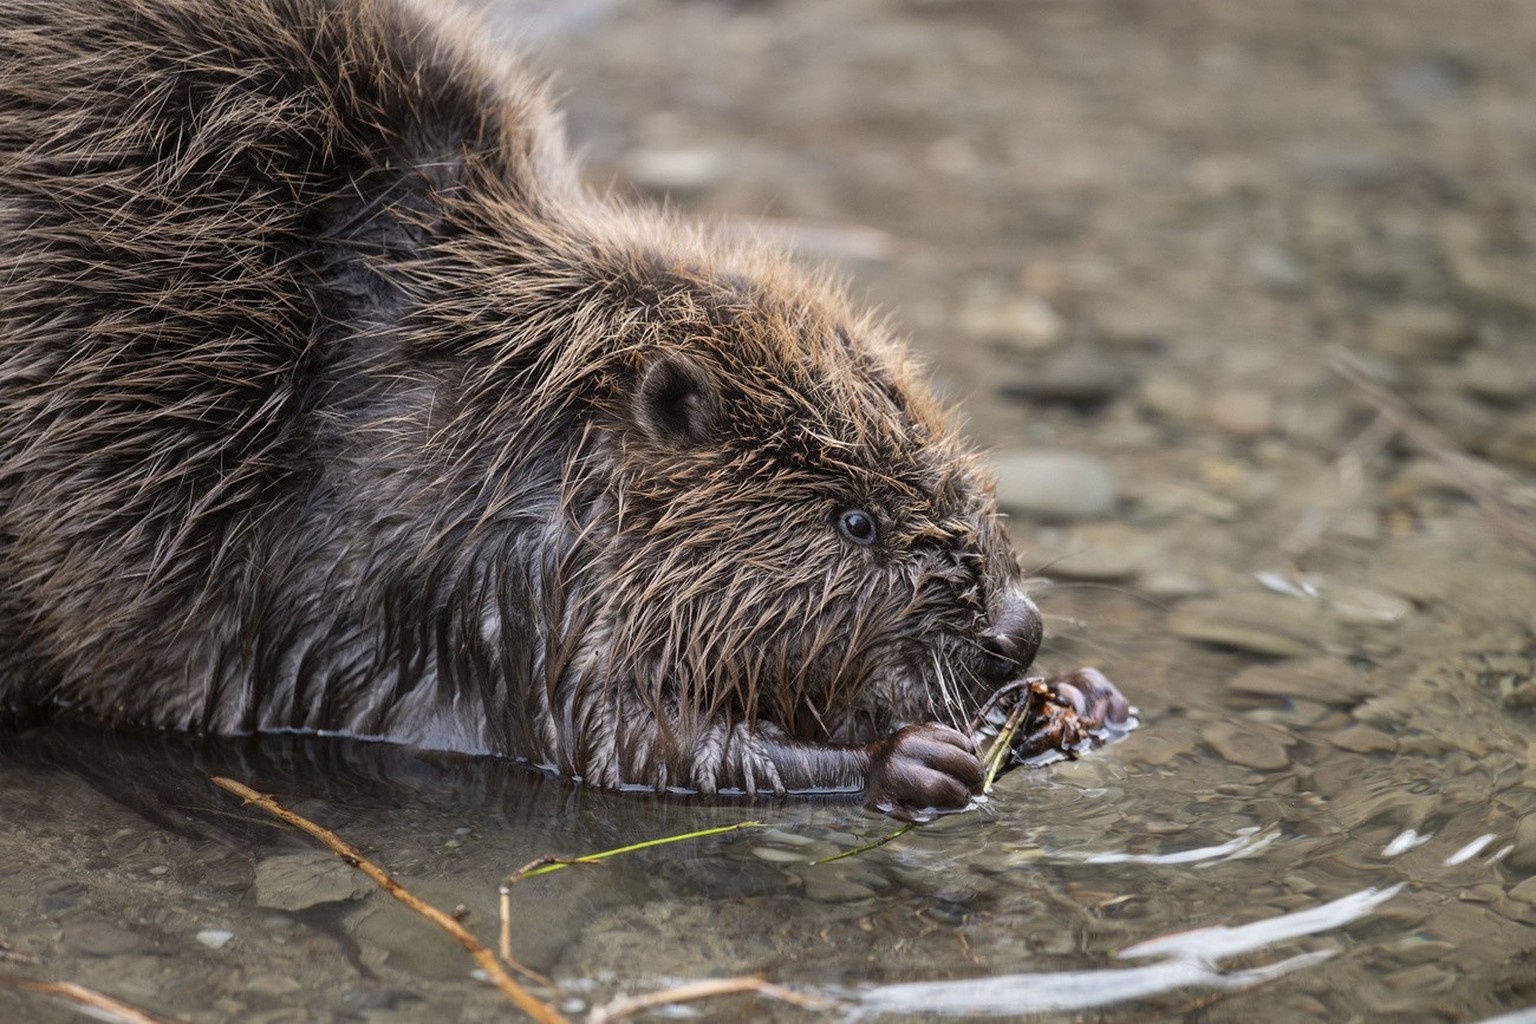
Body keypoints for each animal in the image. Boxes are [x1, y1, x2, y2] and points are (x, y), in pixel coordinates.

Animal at [0, 0, 1130, 822]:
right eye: (853, 520)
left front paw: (1080, 699)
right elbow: (607, 739)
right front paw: (915, 758)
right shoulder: (451, 586)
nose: (1016, 633)